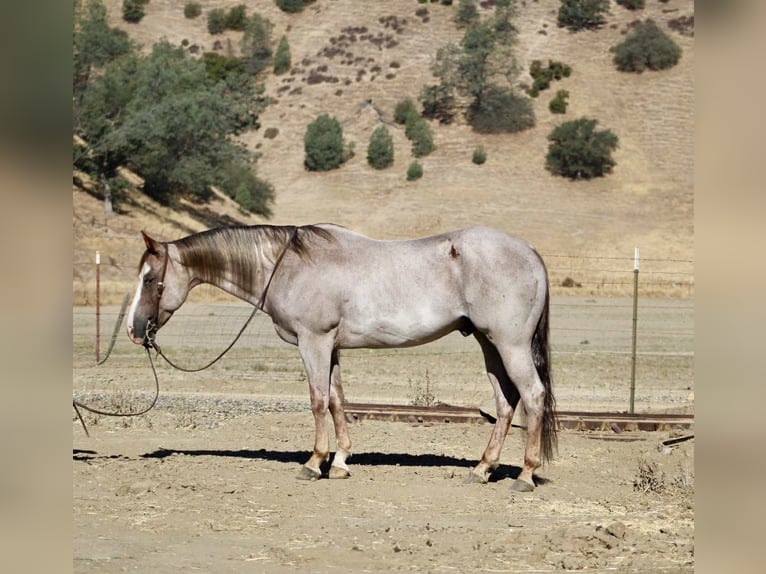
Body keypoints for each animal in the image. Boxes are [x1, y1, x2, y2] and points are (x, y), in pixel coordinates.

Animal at [126, 223, 557, 491]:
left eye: (150, 279)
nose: (134, 330)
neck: (288, 265)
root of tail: (530, 251)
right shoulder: (330, 348)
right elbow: (336, 401)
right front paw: (340, 462)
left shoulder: (313, 342)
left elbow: (318, 401)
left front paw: (314, 462)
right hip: (490, 345)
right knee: (506, 402)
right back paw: (482, 469)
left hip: (510, 344)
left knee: (532, 396)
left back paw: (525, 474)